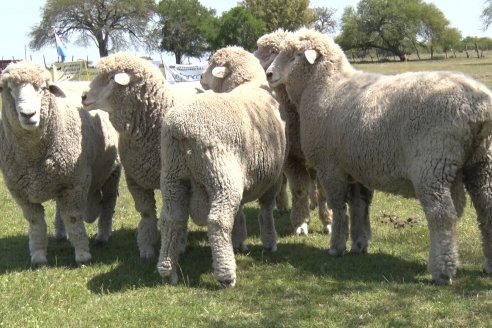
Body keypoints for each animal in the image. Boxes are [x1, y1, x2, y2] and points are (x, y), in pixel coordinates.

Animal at [0, 61, 121, 266]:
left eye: (43, 88)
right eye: (8, 89)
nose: (28, 114)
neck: (33, 156)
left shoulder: (74, 183)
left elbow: (72, 218)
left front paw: (82, 254)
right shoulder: (20, 191)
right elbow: (36, 222)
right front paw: (38, 255)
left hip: (112, 171)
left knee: (108, 202)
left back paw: (102, 235)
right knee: (59, 208)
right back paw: (60, 233)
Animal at [80, 53, 202, 258]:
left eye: (111, 78)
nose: (83, 96)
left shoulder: (176, 179)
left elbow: (179, 213)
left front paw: (179, 244)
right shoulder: (136, 180)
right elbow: (147, 213)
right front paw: (146, 247)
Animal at [160, 46, 286, 288]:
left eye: (211, 65)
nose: (200, 76)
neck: (248, 84)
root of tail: (180, 129)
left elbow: (240, 211)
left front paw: (239, 241)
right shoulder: (273, 175)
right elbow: (266, 209)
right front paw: (269, 242)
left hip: (173, 175)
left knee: (172, 220)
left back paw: (168, 271)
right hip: (222, 176)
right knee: (217, 222)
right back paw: (226, 275)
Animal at [256, 30, 332, 236]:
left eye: (272, 52)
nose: (268, 74)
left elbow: (324, 191)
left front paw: (328, 222)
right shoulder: (292, 157)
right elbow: (299, 191)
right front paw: (301, 224)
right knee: (283, 182)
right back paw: (282, 206)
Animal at [266, 28, 492, 284]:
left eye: (294, 55)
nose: (269, 74)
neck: (324, 87)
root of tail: (478, 107)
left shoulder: (330, 167)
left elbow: (338, 206)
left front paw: (336, 246)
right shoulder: (355, 168)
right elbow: (359, 206)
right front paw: (359, 243)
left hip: (433, 164)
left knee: (441, 215)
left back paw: (442, 271)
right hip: (481, 163)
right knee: (487, 210)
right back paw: (488, 265)